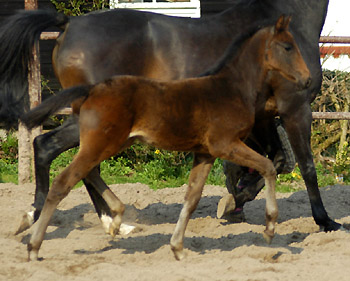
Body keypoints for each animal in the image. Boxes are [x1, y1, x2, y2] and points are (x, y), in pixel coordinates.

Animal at [23, 15, 310, 260]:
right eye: (287, 47)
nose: (306, 79)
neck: (232, 88)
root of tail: (92, 89)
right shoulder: (225, 144)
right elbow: (268, 166)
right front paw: (270, 228)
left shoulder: (205, 153)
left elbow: (192, 198)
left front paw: (177, 248)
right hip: (103, 143)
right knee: (64, 181)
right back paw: (35, 245)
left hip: (110, 142)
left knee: (88, 171)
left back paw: (116, 218)